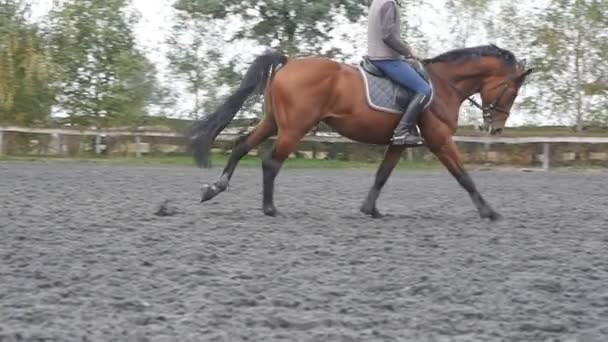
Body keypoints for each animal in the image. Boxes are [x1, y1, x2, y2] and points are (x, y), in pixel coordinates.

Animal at [185, 44, 532, 220]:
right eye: (512, 90)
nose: (495, 128)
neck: (443, 85)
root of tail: (290, 61)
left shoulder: (399, 142)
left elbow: (382, 175)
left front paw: (370, 210)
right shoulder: (439, 140)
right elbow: (464, 176)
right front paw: (489, 211)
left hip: (273, 122)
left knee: (242, 145)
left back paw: (213, 189)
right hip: (293, 128)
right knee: (271, 161)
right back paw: (269, 209)